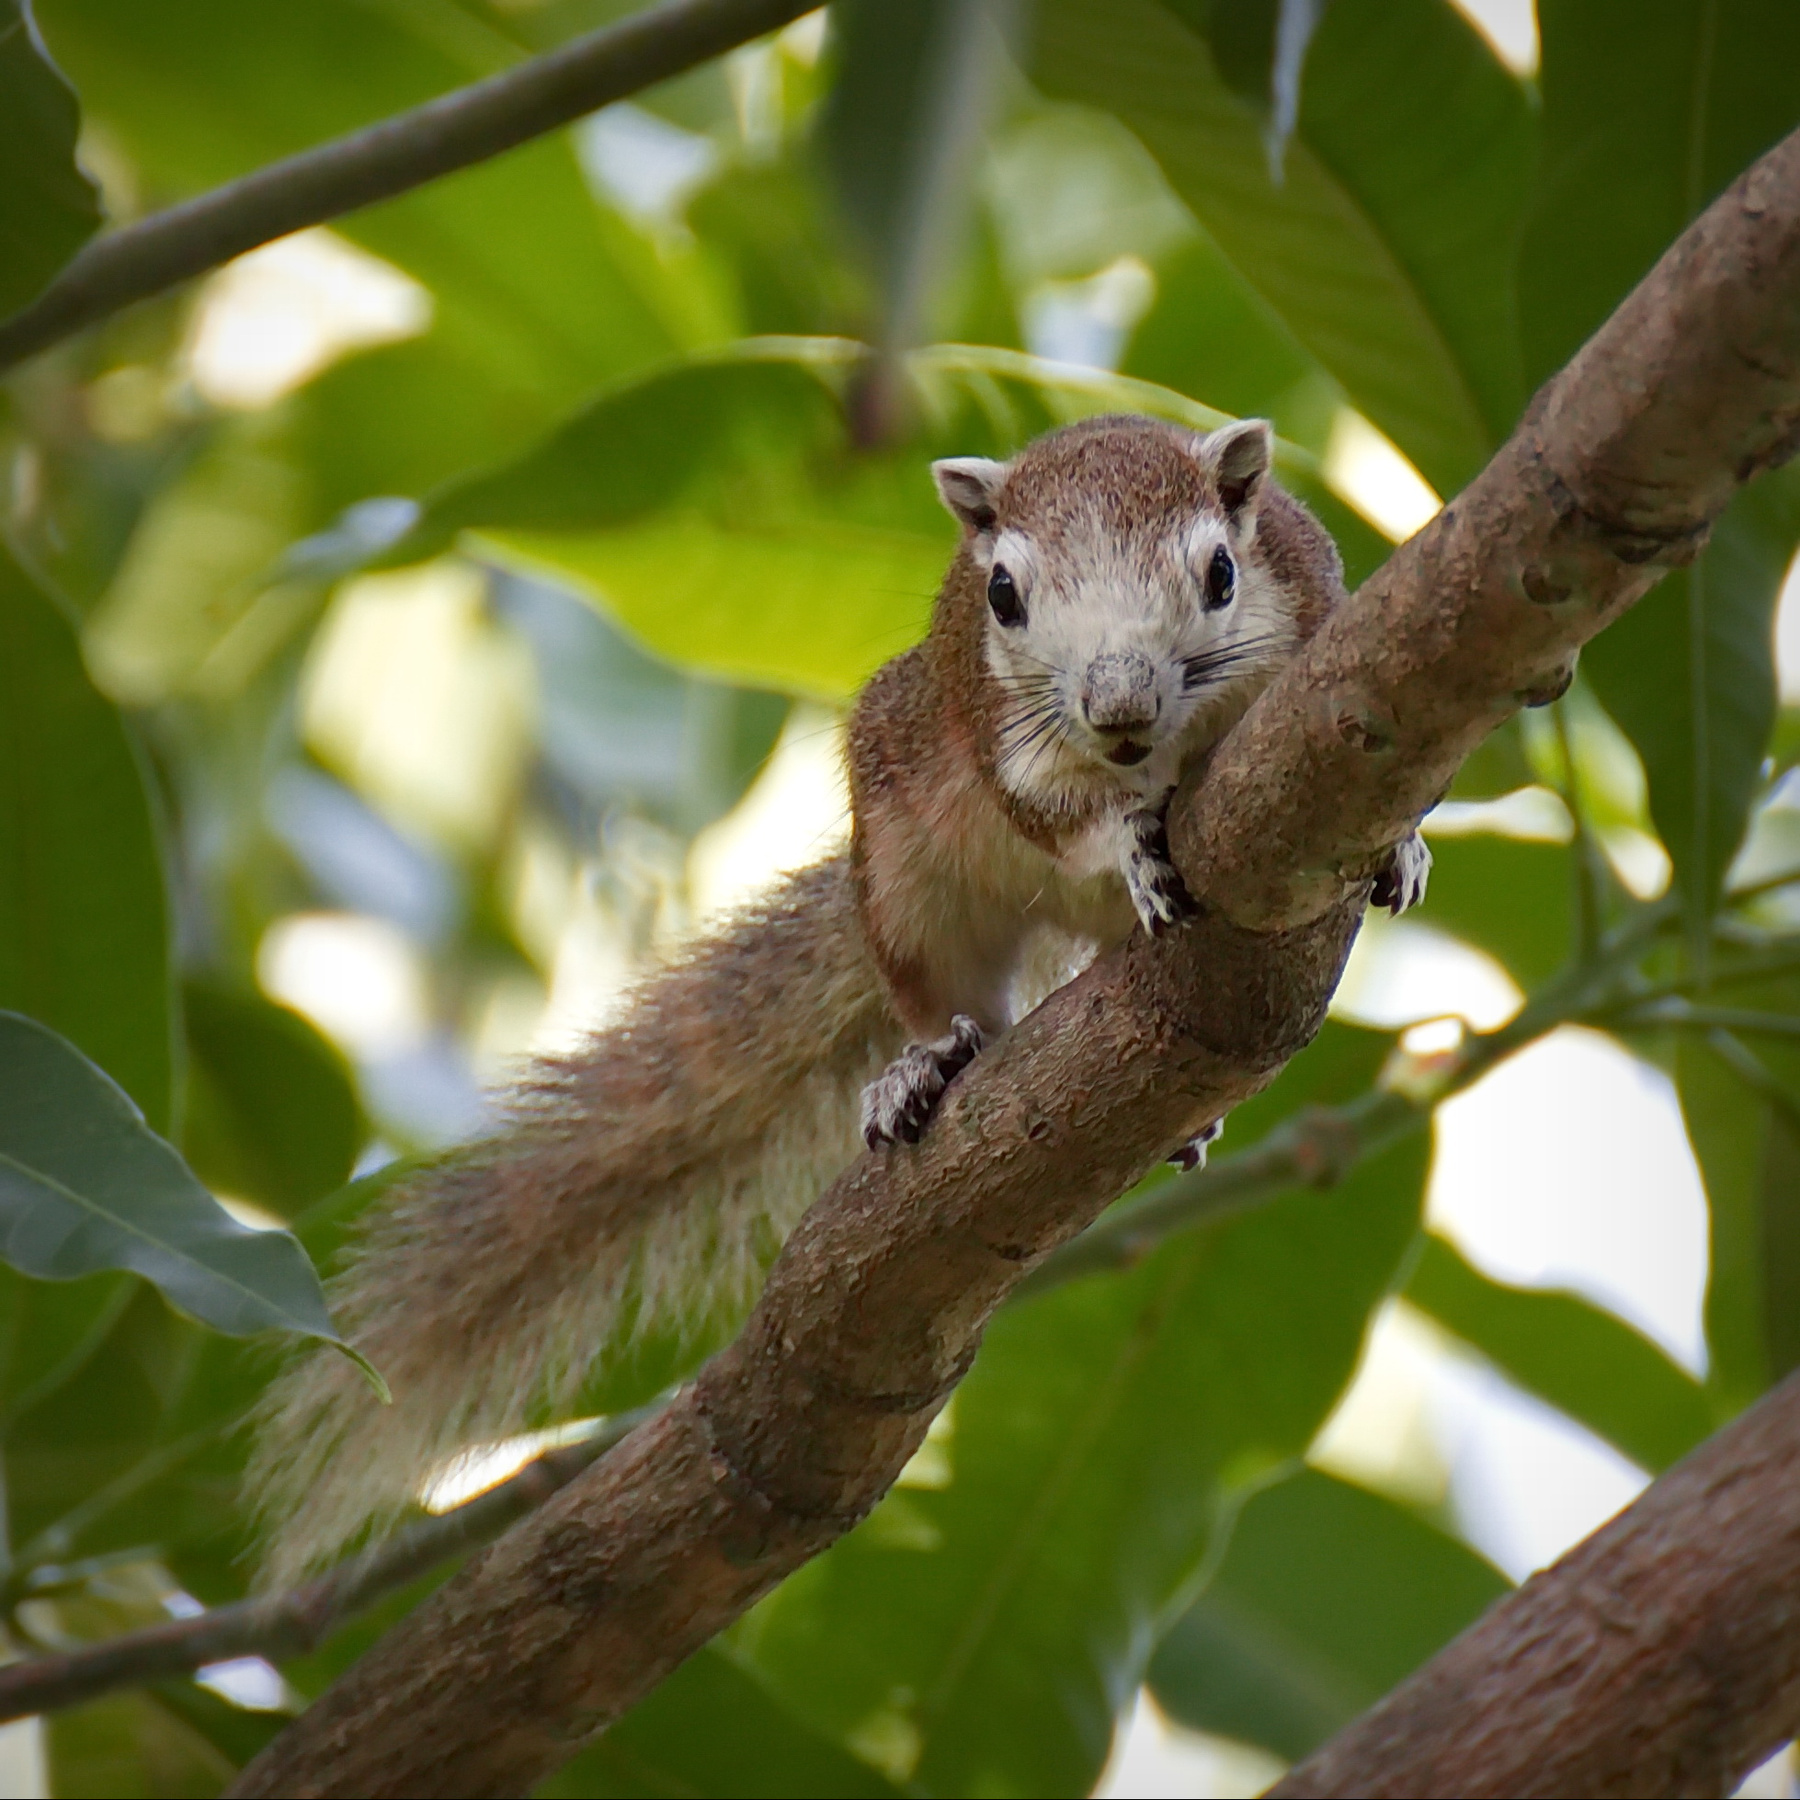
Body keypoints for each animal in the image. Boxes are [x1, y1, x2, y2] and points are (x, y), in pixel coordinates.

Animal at [250, 414, 1432, 1584]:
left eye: (1223, 573)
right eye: (1002, 596)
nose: (1120, 711)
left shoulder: (1319, 620)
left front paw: (1402, 846)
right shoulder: (994, 729)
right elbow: (1063, 818)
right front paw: (1133, 839)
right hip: (905, 860)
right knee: (963, 999)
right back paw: (935, 1063)